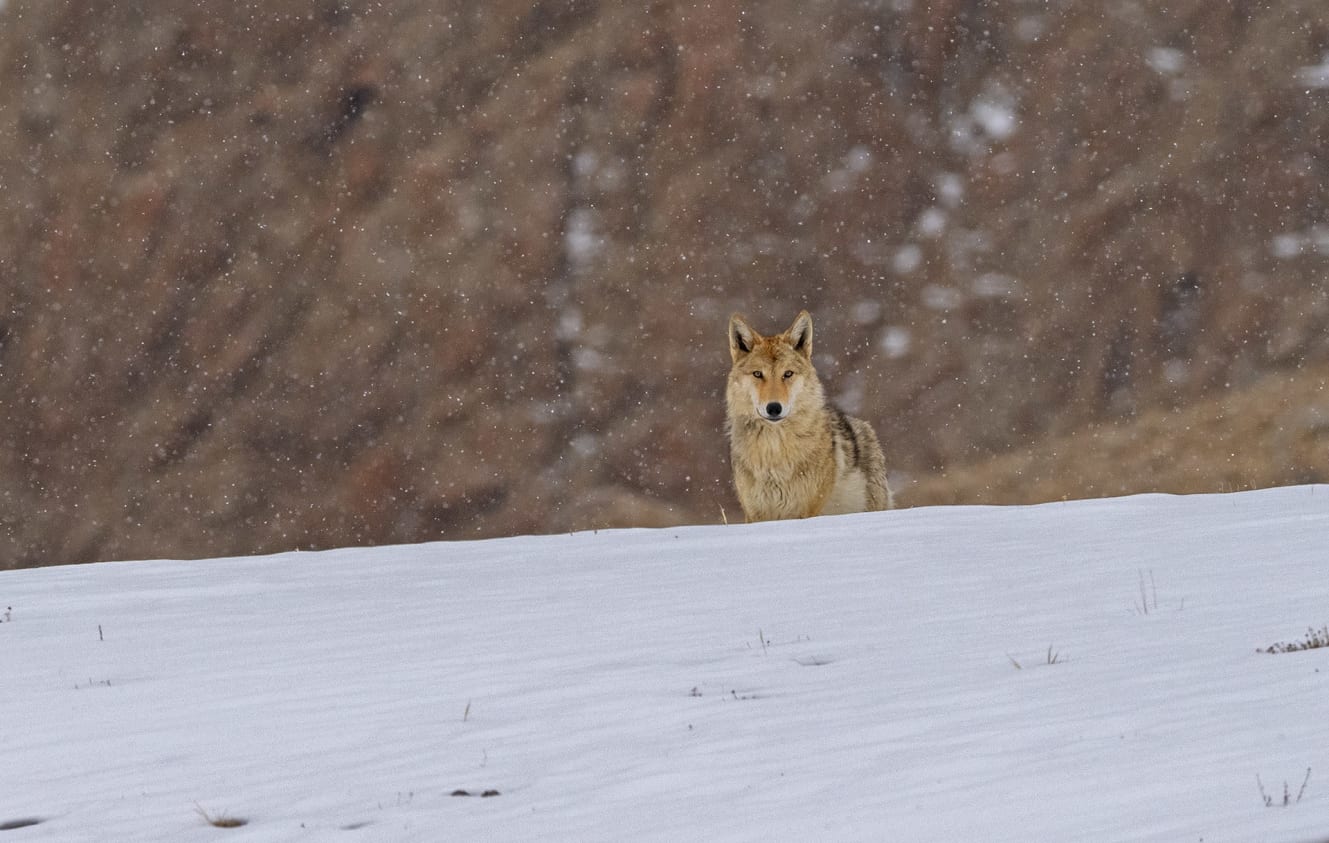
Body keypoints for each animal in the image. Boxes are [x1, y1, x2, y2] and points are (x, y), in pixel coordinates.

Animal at [725, 310, 893, 521]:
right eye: (757, 374)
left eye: (788, 374)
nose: (774, 408)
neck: (774, 450)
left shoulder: (806, 511)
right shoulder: (755, 514)